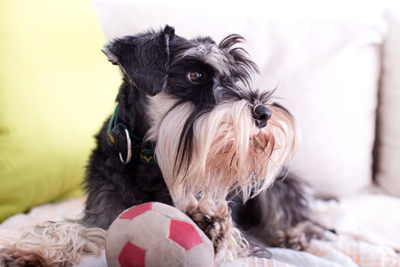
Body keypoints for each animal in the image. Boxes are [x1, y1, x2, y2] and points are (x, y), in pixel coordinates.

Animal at [0, 25, 324, 267]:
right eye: (195, 74)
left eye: (234, 78)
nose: (264, 113)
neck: (148, 158)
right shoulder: (101, 214)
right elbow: (71, 227)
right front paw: (34, 251)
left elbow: (232, 240)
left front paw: (209, 227)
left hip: (276, 184)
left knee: (300, 216)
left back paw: (293, 235)